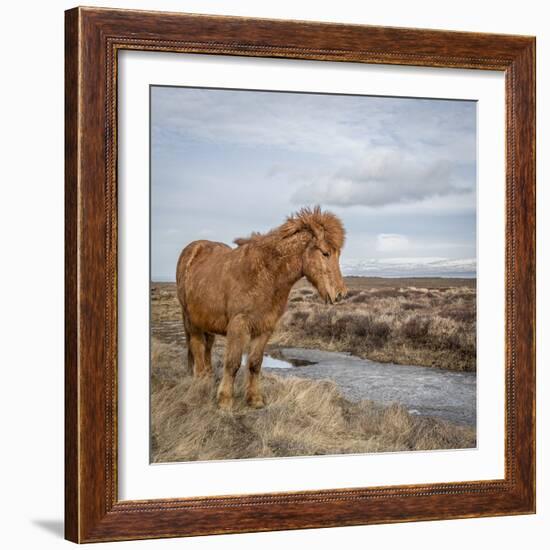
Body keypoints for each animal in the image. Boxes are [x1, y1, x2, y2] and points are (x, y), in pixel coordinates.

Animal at [178, 207, 350, 410]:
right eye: (325, 253)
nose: (340, 294)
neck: (265, 275)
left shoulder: (265, 327)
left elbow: (254, 363)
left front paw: (255, 399)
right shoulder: (238, 325)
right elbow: (233, 363)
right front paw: (225, 401)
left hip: (206, 321)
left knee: (207, 347)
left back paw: (209, 378)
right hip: (191, 320)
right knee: (197, 347)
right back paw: (201, 382)